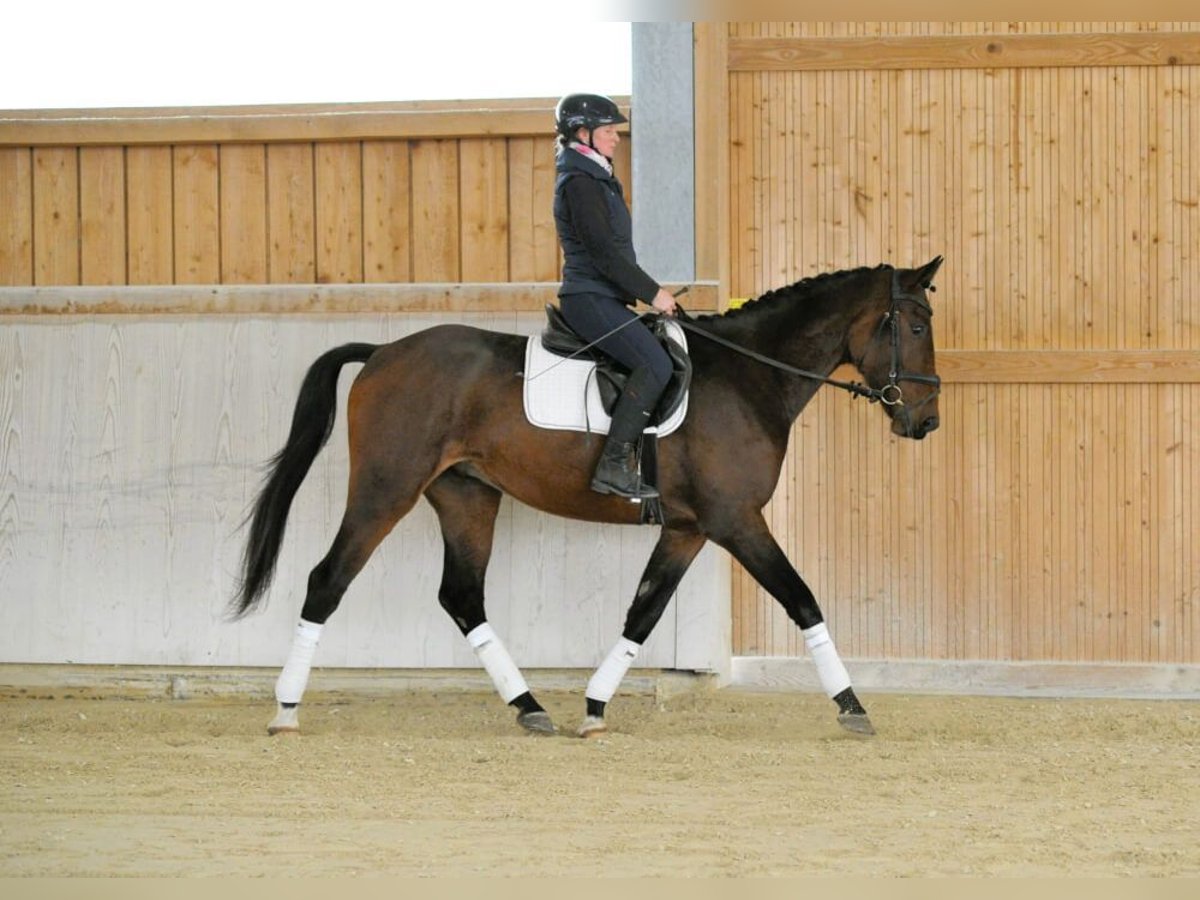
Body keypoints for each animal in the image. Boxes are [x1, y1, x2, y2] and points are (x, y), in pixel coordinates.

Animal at [231, 256, 944, 739]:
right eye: (912, 325)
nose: (926, 422)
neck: (747, 378)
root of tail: (382, 351)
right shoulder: (737, 521)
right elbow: (803, 600)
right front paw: (853, 706)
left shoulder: (687, 529)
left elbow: (642, 615)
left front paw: (596, 707)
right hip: (386, 489)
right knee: (327, 581)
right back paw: (286, 709)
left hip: (466, 497)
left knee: (461, 597)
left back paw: (530, 708)